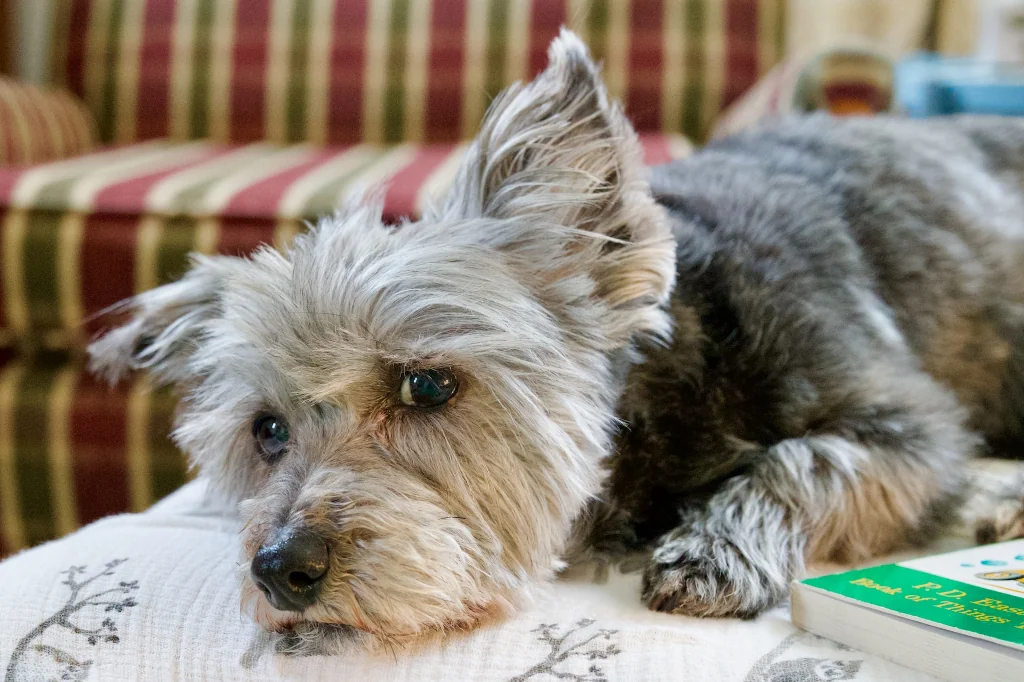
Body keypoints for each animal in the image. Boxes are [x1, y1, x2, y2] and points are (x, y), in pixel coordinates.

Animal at [86, 31, 1024, 647]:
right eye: (267, 431)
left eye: (428, 385)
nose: (282, 568)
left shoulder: (912, 428)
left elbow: (806, 459)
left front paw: (716, 550)